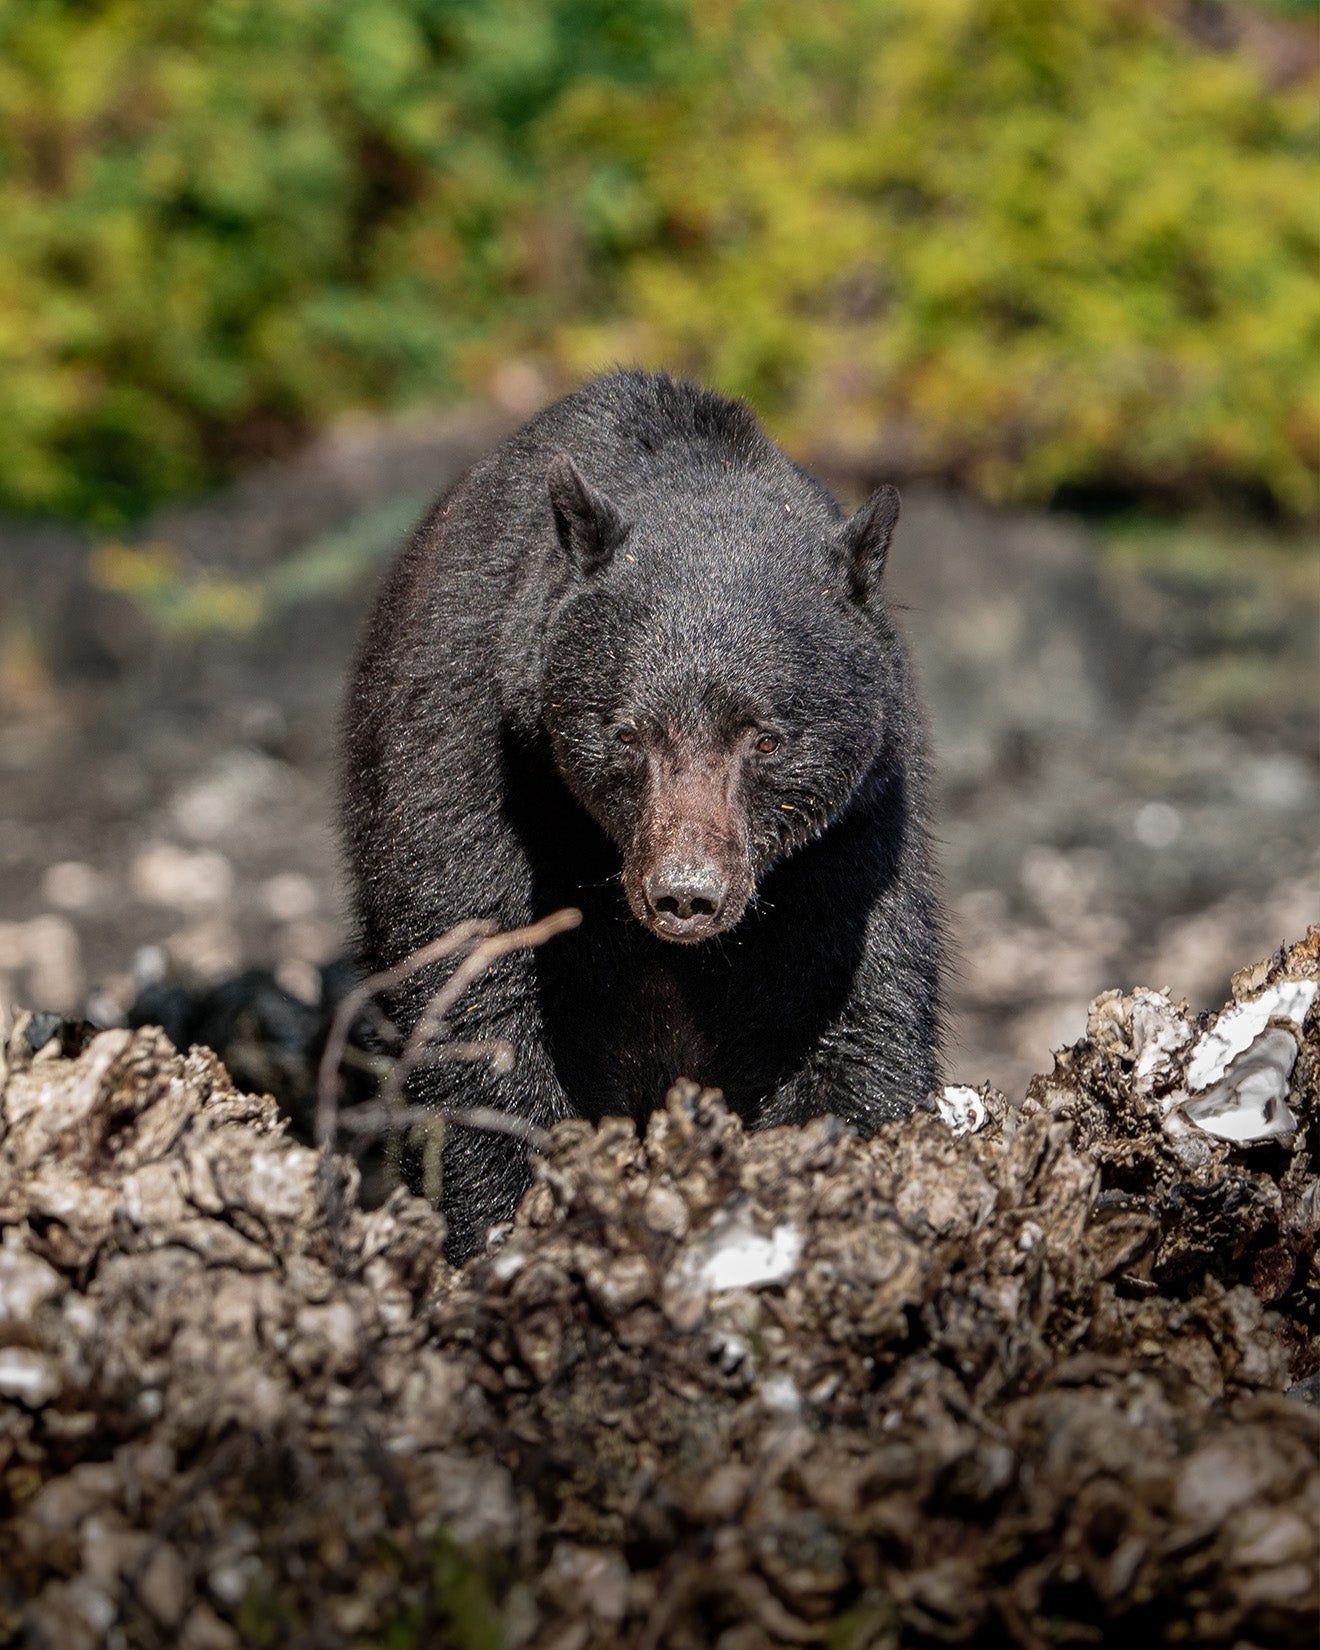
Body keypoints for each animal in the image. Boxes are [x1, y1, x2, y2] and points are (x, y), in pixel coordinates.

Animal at [340, 370, 941, 1259]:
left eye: (764, 738)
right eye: (627, 731)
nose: (685, 893)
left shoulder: (857, 825)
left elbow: (858, 1006)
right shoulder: (471, 743)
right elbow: (474, 986)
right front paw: (510, 1215)